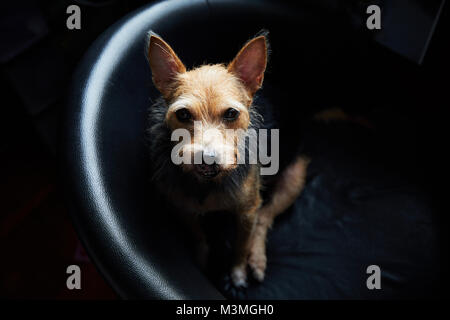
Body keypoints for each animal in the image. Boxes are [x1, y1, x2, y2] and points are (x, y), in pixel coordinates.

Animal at [147, 31, 310, 288]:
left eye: (231, 113)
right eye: (183, 114)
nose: (207, 159)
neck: (207, 183)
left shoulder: (247, 213)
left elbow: (241, 245)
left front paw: (238, 272)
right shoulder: (182, 207)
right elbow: (198, 236)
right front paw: (201, 262)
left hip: (294, 181)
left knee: (265, 218)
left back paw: (257, 259)